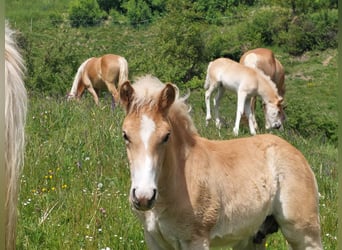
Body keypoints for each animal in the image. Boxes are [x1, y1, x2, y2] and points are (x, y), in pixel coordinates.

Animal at [119, 74, 322, 250]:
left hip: (305, 234)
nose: (144, 197)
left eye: (166, 136)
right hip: (252, 238)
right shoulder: (154, 240)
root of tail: (297, 154)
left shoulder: (196, 241)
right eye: (125, 135)